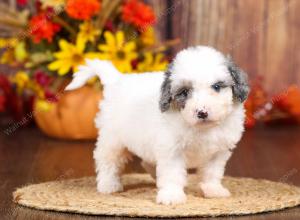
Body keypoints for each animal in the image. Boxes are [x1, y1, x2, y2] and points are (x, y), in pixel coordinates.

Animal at [65, 45, 248, 205]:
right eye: (184, 92)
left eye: (217, 87)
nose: (202, 112)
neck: (201, 129)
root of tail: (117, 80)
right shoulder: (171, 150)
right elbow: (172, 173)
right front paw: (172, 196)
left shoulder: (218, 152)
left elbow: (212, 172)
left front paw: (213, 190)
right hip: (112, 138)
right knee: (107, 159)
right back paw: (108, 184)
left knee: (147, 162)